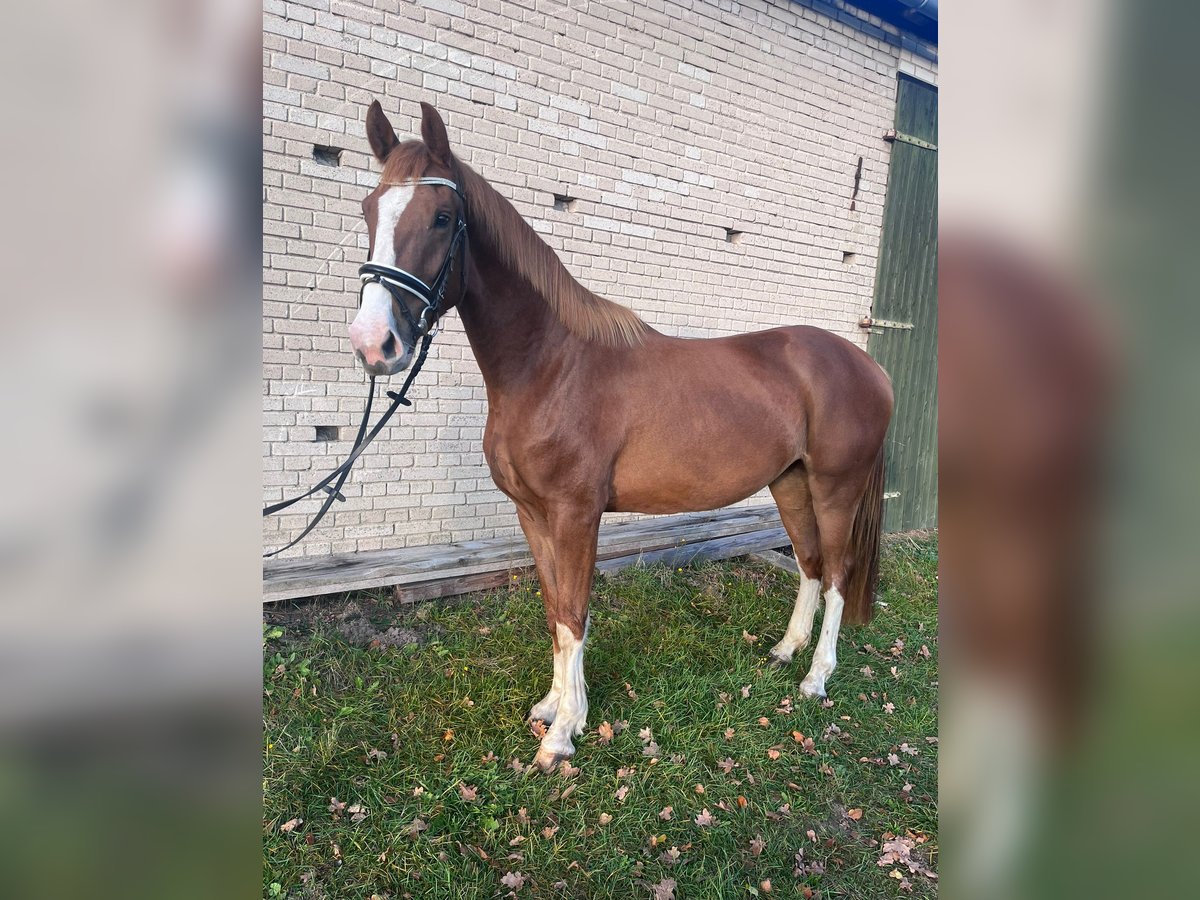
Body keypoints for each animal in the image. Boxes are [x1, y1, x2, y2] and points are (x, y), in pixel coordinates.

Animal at [348, 102, 892, 772]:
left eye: (443, 218)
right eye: (369, 210)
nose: (374, 344)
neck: (551, 368)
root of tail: (869, 366)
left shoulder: (576, 514)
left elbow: (576, 614)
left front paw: (561, 737)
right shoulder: (534, 515)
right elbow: (556, 611)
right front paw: (556, 709)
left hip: (836, 487)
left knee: (838, 572)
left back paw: (816, 678)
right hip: (790, 483)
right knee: (811, 564)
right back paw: (785, 652)